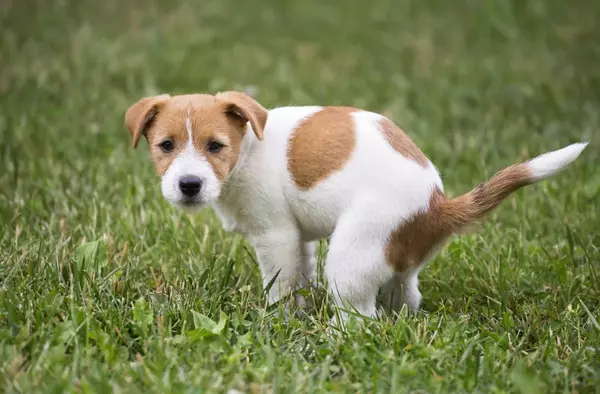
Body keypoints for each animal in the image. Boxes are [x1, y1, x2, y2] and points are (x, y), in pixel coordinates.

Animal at [124, 91, 588, 324]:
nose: (189, 185)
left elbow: (280, 287)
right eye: (165, 145)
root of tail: (437, 206)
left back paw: (334, 336)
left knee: (361, 318)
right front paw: (299, 314)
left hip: (350, 256)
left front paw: (280, 324)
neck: (248, 148)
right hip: (394, 261)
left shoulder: (275, 236)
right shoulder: (298, 240)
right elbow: (300, 278)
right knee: (405, 297)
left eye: (216, 146)